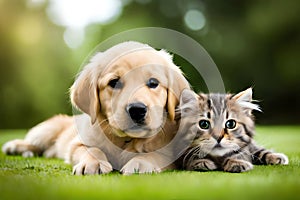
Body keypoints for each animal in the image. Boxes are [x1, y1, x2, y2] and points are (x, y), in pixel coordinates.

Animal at [1, 41, 190, 175]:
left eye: (153, 83)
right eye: (114, 82)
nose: (137, 109)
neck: (125, 140)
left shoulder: (171, 152)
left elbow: (155, 154)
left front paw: (141, 163)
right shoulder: (78, 142)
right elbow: (92, 149)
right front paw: (93, 163)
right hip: (45, 130)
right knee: (33, 142)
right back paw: (16, 146)